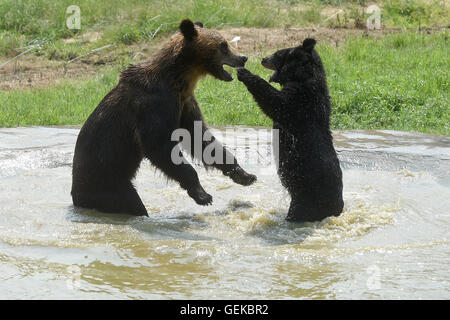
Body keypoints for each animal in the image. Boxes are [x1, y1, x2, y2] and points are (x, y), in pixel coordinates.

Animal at [73, 18, 256, 216]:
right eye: (223, 45)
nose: (243, 57)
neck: (179, 80)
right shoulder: (155, 106)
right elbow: (159, 145)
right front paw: (203, 195)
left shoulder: (185, 104)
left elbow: (200, 139)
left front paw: (244, 174)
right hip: (108, 179)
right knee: (130, 201)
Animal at [237, 38, 342, 222]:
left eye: (278, 53)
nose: (263, 58)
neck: (299, 77)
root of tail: (337, 210)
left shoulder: (302, 101)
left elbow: (277, 103)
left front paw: (244, 73)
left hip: (308, 196)